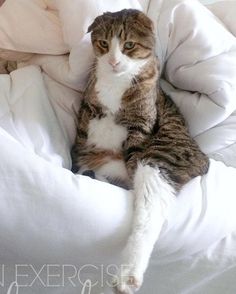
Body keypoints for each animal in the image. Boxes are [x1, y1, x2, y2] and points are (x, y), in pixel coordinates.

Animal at [71, 9, 209, 294]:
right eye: (103, 44)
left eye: (128, 46)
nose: (113, 61)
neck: (116, 81)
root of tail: (204, 160)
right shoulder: (87, 112)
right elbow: (88, 127)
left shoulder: (141, 126)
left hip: (159, 159)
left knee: (148, 212)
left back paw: (128, 276)